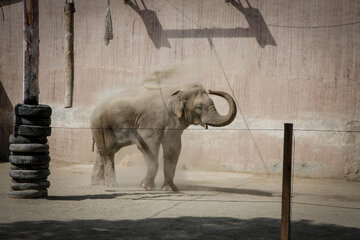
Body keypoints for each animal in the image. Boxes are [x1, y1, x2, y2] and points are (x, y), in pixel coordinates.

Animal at [90, 83, 236, 190]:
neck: (179, 91)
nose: (211, 90)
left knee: (101, 153)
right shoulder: (151, 121)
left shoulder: (174, 125)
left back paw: (98, 184)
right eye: (199, 107)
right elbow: (149, 145)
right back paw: (112, 185)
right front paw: (146, 187)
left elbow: (174, 148)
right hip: (102, 126)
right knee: (108, 152)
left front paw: (171, 189)